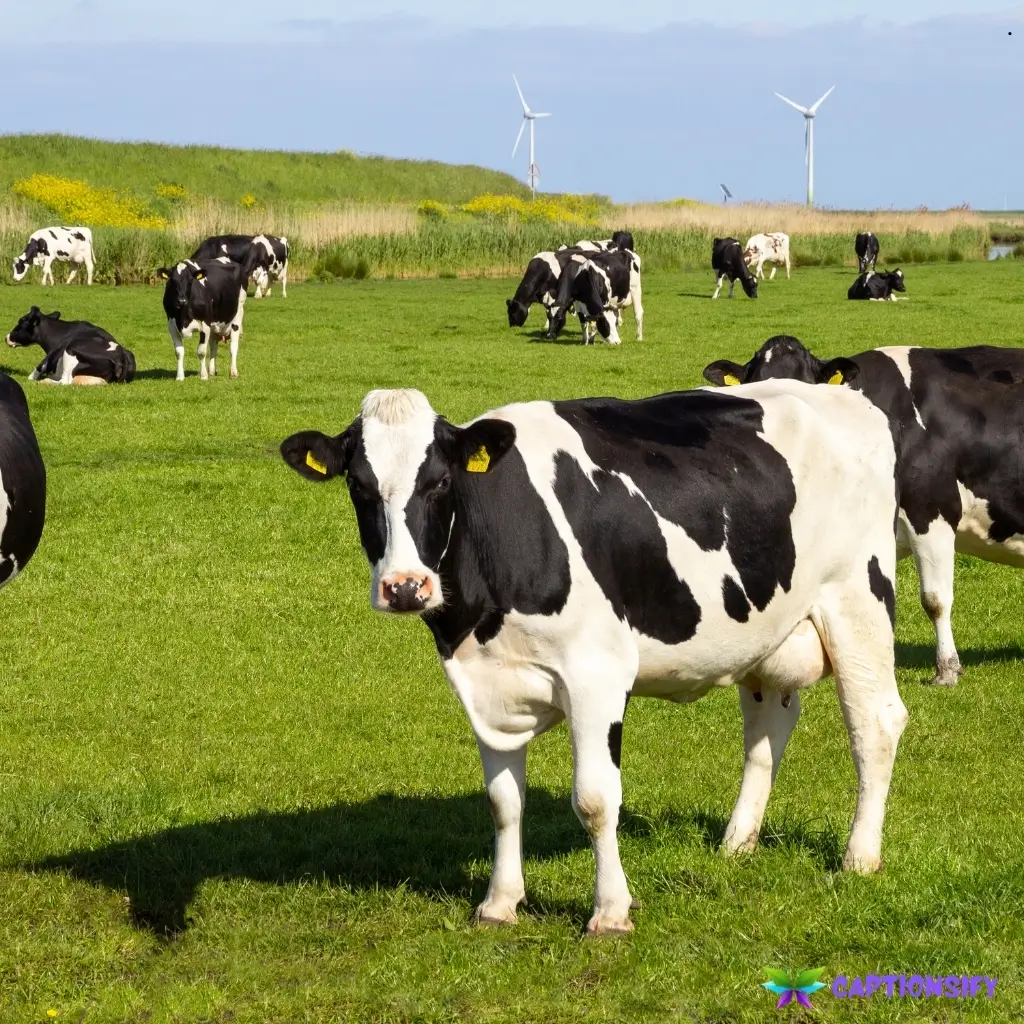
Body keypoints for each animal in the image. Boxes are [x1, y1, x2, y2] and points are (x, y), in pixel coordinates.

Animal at [5, 307, 136, 385]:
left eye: (21, 322)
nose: (6, 338)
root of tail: (121, 355)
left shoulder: (53, 352)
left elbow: (38, 368)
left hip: (70, 350)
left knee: (65, 381)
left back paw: (45, 381)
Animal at [279, 383, 907, 935]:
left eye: (439, 483)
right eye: (359, 487)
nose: (406, 587)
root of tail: (842, 395)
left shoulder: (596, 675)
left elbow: (596, 799)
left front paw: (610, 913)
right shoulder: (485, 682)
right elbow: (503, 800)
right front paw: (499, 904)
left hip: (857, 599)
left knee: (875, 722)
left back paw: (859, 857)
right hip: (765, 630)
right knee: (768, 727)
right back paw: (736, 843)